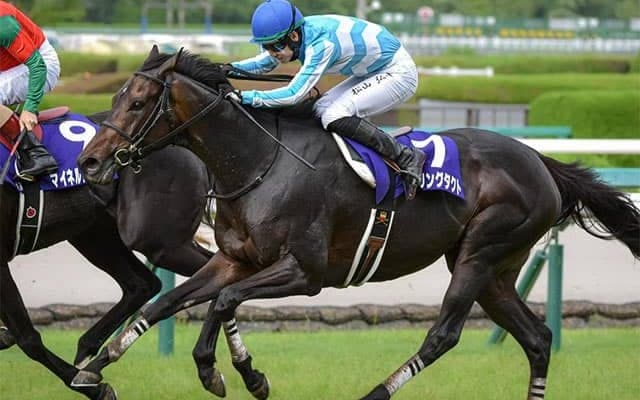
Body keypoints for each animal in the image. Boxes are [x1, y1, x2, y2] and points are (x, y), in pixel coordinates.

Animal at [0, 110, 226, 400]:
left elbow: (27, 338)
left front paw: (97, 389)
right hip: (95, 233)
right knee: (144, 283)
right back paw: (87, 347)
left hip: (158, 241)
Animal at [75, 47, 640, 400]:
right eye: (117, 96)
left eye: (139, 102)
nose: (90, 161)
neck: (259, 161)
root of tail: (540, 161)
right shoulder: (235, 259)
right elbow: (169, 302)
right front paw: (96, 366)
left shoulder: (305, 273)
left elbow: (222, 302)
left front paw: (232, 374)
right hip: (495, 271)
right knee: (538, 338)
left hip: (481, 253)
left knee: (443, 335)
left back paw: (375, 392)